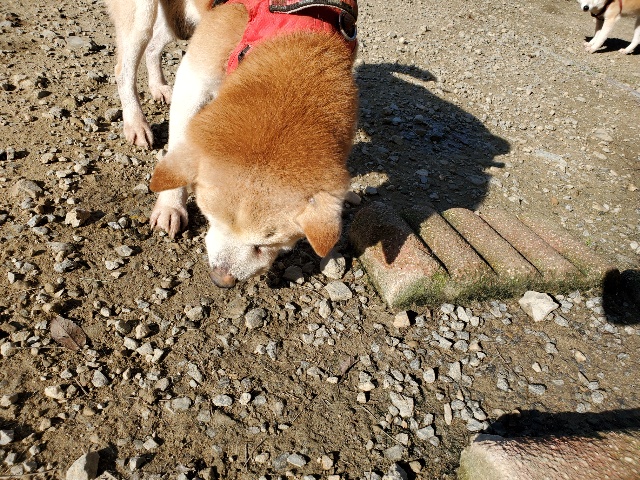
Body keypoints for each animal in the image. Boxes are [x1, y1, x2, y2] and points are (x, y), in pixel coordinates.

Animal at [148, 0, 359, 287]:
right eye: (210, 217)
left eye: (265, 244)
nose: (221, 281)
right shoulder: (193, 76)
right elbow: (178, 149)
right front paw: (170, 205)